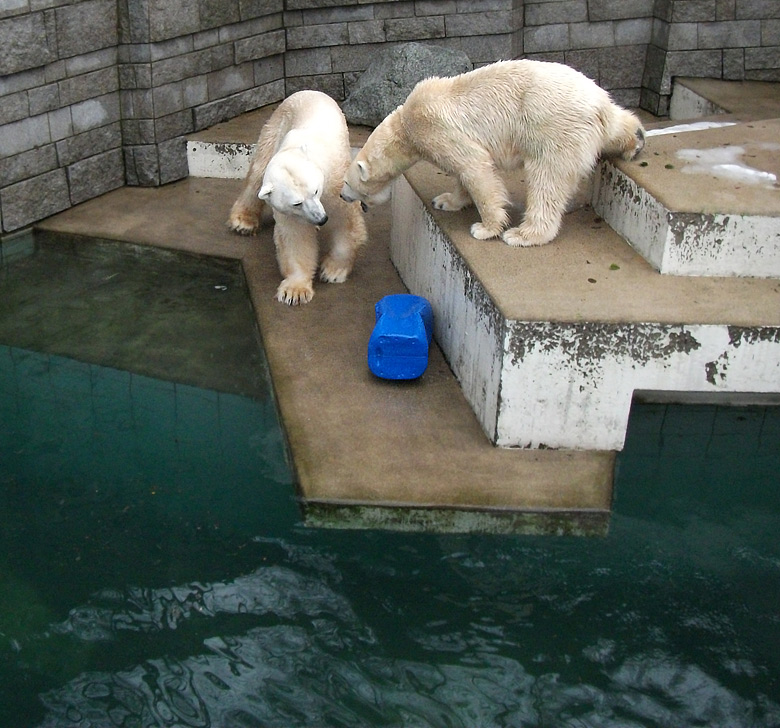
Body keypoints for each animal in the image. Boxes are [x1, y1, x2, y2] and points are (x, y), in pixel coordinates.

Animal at [229, 89, 368, 304]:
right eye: (297, 203)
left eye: (316, 190)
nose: (321, 218)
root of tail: (307, 91)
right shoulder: (289, 212)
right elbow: (295, 237)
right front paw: (295, 291)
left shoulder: (336, 185)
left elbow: (346, 223)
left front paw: (333, 271)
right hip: (275, 128)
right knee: (257, 176)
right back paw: (243, 222)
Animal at [342, 60, 644, 247]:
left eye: (346, 183)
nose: (343, 196)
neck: (405, 124)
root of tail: (597, 105)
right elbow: (463, 174)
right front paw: (446, 201)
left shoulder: (435, 129)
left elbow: (475, 167)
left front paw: (485, 228)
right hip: (593, 120)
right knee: (617, 125)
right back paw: (637, 140)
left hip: (553, 128)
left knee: (547, 180)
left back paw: (523, 234)